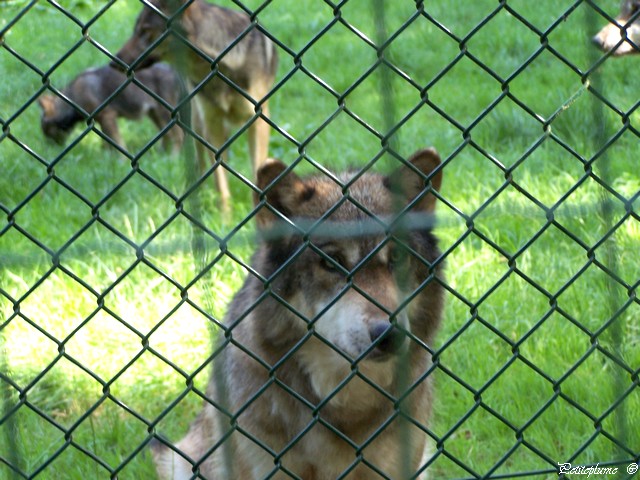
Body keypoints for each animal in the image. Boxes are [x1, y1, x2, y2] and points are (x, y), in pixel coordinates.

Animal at [37, 62, 184, 151]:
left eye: (46, 131)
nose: (48, 149)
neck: (74, 98)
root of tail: (172, 70)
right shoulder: (101, 121)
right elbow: (107, 144)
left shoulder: (108, 116)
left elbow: (118, 143)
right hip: (155, 114)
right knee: (167, 136)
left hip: (165, 114)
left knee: (178, 135)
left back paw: (172, 158)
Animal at [114, 0, 278, 208]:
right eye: (135, 31)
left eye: (145, 31)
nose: (114, 62)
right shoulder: (211, 124)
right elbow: (220, 181)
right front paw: (224, 215)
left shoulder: (258, 119)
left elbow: (257, 169)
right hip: (198, 124)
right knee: (200, 165)